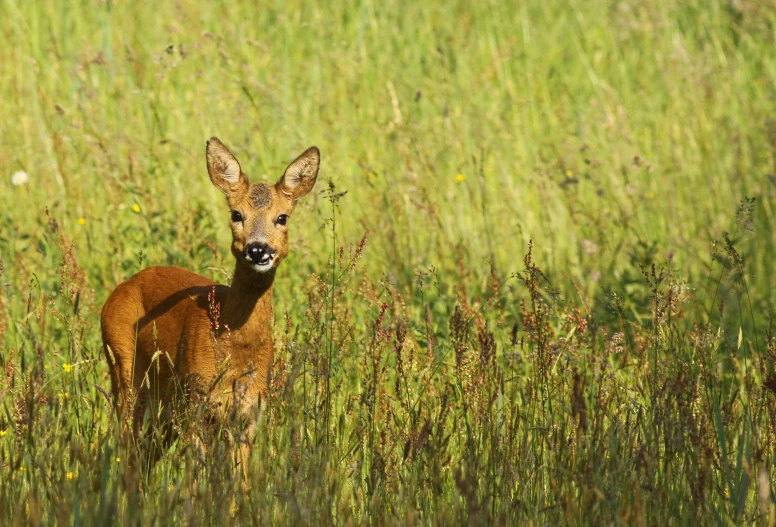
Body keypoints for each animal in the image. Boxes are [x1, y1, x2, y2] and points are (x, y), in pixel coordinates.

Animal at [100, 136, 318, 474]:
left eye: (282, 217)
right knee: (126, 447)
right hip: (124, 367)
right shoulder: (196, 405)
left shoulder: (248, 416)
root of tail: (120, 288)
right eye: (236, 214)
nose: (258, 250)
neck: (233, 345)